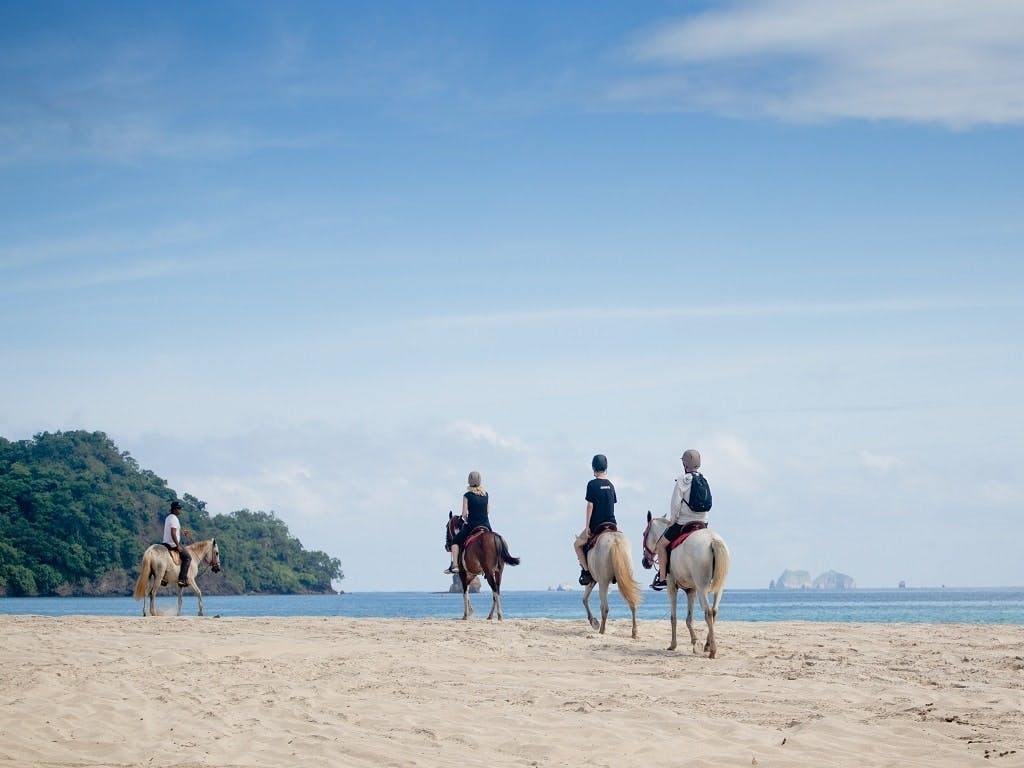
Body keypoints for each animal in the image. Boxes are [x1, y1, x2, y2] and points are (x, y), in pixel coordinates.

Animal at [638, 514, 729, 659]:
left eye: (644, 533)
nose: (645, 562)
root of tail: (712, 539)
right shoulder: (691, 590)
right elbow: (689, 619)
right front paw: (695, 642)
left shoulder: (671, 586)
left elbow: (673, 618)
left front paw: (673, 645)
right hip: (718, 587)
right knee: (714, 611)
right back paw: (708, 645)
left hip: (702, 588)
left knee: (708, 612)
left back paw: (713, 650)